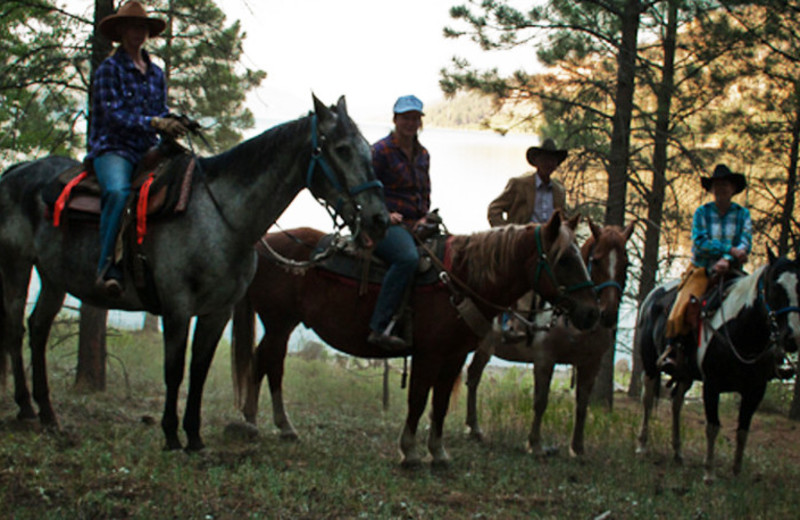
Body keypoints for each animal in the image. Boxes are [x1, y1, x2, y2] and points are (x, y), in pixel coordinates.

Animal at [0, 94, 390, 450]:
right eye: (341, 149)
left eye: (367, 150)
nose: (379, 218)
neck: (222, 217)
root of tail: (16, 171)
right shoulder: (177, 307)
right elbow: (174, 370)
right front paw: (172, 435)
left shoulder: (218, 311)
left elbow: (199, 370)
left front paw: (195, 437)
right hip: (17, 265)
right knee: (16, 330)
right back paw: (27, 409)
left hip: (53, 276)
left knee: (38, 328)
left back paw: (49, 415)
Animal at [231, 211, 600, 468]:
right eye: (565, 259)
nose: (592, 313)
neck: (461, 278)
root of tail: (264, 242)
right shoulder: (429, 355)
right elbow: (419, 399)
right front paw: (409, 451)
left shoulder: (454, 357)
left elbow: (440, 404)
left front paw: (438, 452)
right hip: (279, 323)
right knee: (269, 365)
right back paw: (267, 424)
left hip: (281, 325)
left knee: (263, 363)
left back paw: (263, 423)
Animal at [462, 219, 632, 456]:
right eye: (596, 261)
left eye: (627, 264)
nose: (606, 314)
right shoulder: (545, 359)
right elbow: (541, 401)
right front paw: (534, 444)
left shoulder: (591, 364)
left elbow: (582, 404)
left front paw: (577, 448)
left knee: (473, 377)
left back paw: (474, 428)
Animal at [636, 251, 800, 480]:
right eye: (775, 287)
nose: (792, 338)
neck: (741, 332)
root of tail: (651, 297)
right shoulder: (711, 385)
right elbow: (713, 426)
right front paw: (709, 473)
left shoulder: (755, 390)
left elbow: (743, 431)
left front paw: (736, 472)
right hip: (651, 365)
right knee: (648, 399)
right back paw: (642, 446)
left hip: (685, 375)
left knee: (676, 402)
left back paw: (678, 453)